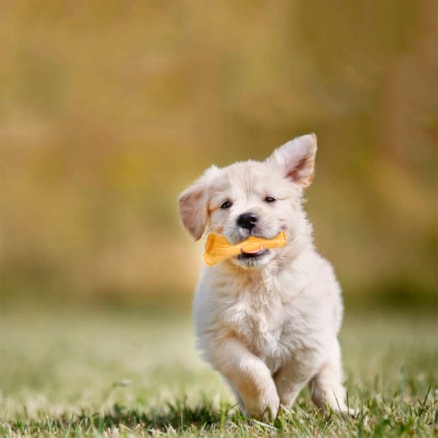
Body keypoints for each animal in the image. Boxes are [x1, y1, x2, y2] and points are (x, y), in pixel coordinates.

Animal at [178, 134, 352, 420]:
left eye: (270, 199)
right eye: (226, 204)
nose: (247, 218)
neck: (258, 279)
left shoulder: (309, 341)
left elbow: (290, 379)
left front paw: (279, 408)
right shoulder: (220, 338)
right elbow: (250, 371)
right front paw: (264, 408)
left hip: (331, 350)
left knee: (327, 383)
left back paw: (339, 410)